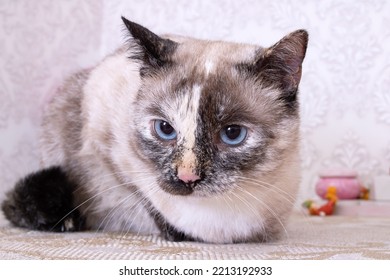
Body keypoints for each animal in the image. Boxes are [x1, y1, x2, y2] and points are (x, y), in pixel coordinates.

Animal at [2, 17, 308, 243]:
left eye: (232, 134)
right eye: (164, 129)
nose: (187, 177)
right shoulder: (106, 146)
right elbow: (145, 198)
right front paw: (177, 233)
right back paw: (66, 221)